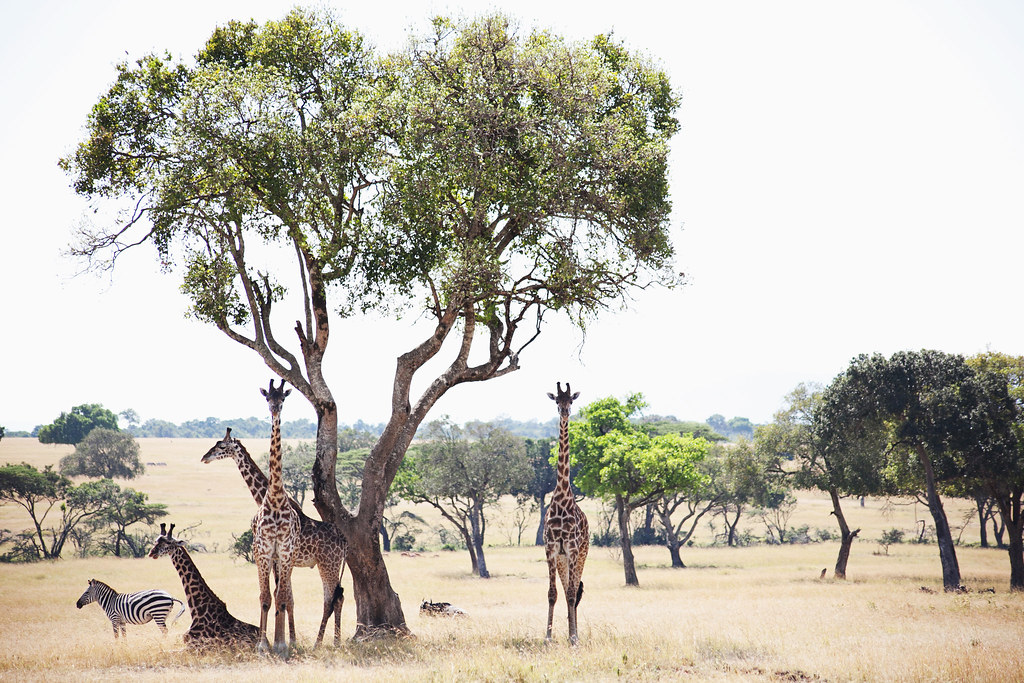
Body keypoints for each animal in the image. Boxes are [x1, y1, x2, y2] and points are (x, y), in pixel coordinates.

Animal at [201, 427, 347, 647]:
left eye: (222, 446)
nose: (205, 457)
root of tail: (345, 541)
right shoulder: (280, 561)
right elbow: (288, 599)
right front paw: (291, 639)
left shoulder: (281, 559)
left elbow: (282, 596)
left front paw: (284, 641)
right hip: (329, 565)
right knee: (334, 597)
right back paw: (326, 641)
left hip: (328, 564)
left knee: (333, 599)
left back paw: (326, 642)